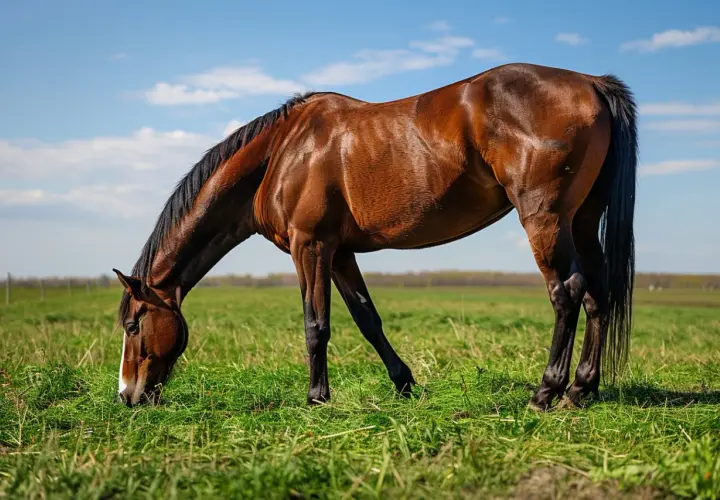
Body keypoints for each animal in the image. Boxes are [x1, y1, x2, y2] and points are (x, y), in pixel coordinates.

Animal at [114, 62, 637, 411]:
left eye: (134, 325)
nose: (126, 395)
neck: (282, 152)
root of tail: (590, 82)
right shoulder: (341, 252)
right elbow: (369, 320)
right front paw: (405, 384)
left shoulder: (310, 247)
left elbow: (316, 325)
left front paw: (317, 398)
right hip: (582, 221)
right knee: (596, 294)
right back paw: (581, 389)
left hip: (545, 219)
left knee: (567, 293)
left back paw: (546, 391)